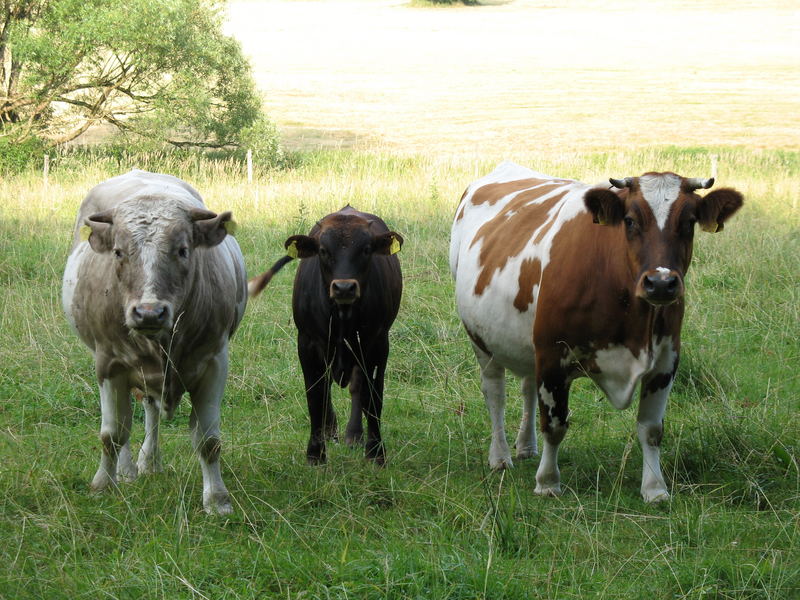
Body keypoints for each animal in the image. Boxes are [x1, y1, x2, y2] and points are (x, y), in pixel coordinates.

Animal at [62, 170, 245, 516]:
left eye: (183, 250)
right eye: (118, 252)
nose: (149, 312)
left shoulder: (215, 362)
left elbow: (208, 440)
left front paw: (217, 499)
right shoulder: (108, 364)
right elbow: (112, 434)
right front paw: (103, 485)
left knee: (150, 411)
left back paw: (150, 462)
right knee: (128, 422)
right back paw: (127, 470)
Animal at [250, 205, 404, 464]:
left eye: (366, 249)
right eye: (323, 250)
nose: (344, 288)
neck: (342, 315)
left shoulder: (377, 343)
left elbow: (373, 397)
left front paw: (375, 453)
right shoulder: (308, 343)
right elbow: (316, 396)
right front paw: (315, 453)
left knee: (357, 387)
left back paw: (353, 434)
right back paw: (330, 430)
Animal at [450, 161, 744, 502]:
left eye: (689, 222)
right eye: (630, 220)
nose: (660, 283)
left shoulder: (666, 360)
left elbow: (651, 429)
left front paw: (655, 488)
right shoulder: (552, 354)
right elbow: (555, 425)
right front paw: (548, 482)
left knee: (526, 387)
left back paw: (526, 447)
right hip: (481, 340)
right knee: (495, 393)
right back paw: (500, 456)